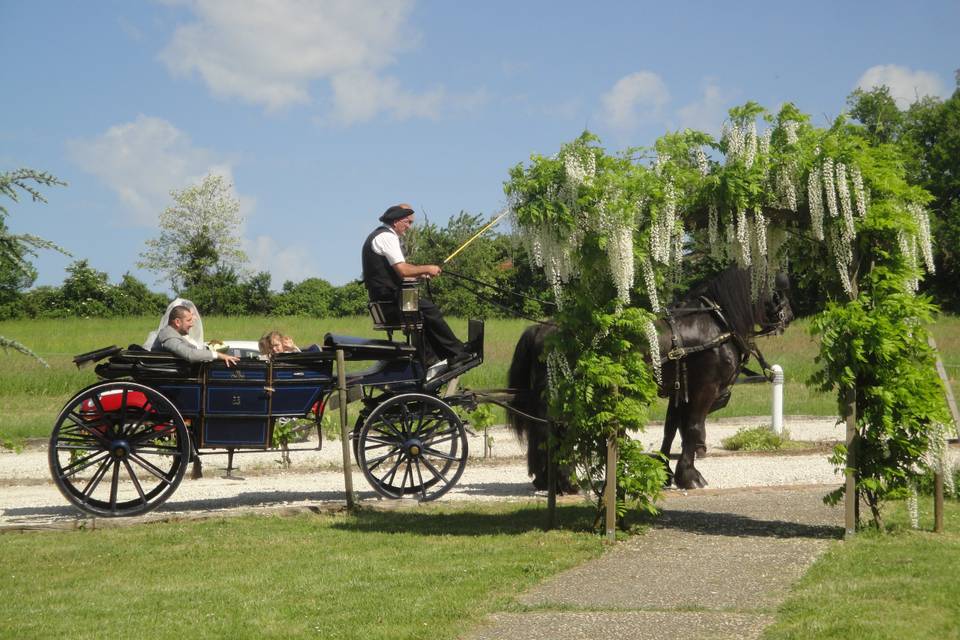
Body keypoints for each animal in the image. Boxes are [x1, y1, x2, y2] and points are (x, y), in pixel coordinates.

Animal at [506, 264, 792, 490]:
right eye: (778, 287)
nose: (789, 316)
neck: (716, 324)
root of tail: (542, 328)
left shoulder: (680, 389)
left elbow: (671, 429)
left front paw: (666, 472)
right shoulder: (704, 390)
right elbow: (693, 427)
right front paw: (689, 477)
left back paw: (548, 480)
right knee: (556, 430)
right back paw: (566, 482)